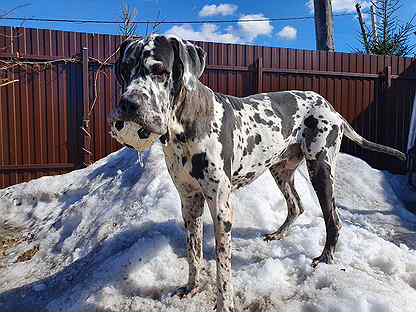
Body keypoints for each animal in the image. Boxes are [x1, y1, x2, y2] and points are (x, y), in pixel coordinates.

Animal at [110, 34, 406, 312]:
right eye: (123, 70)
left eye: (159, 70)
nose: (127, 104)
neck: (184, 127)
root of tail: (328, 105)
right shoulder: (189, 202)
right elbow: (194, 253)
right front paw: (192, 287)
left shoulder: (221, 207)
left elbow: (223, 269)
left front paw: (225, 304)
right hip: (280, 170)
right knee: (296, 205)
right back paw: (279, 234)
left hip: (320, 169)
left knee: (334, 219)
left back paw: (325, 258)